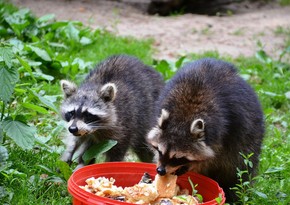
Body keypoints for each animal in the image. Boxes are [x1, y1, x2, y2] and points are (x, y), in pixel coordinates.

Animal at [147, 57, 266, 202]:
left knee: (238, 168)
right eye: (160, 150)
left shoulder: (222, 132)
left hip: (250, 134)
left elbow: (212, 157)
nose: (160, 171)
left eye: (179, 157)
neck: (183, 117)